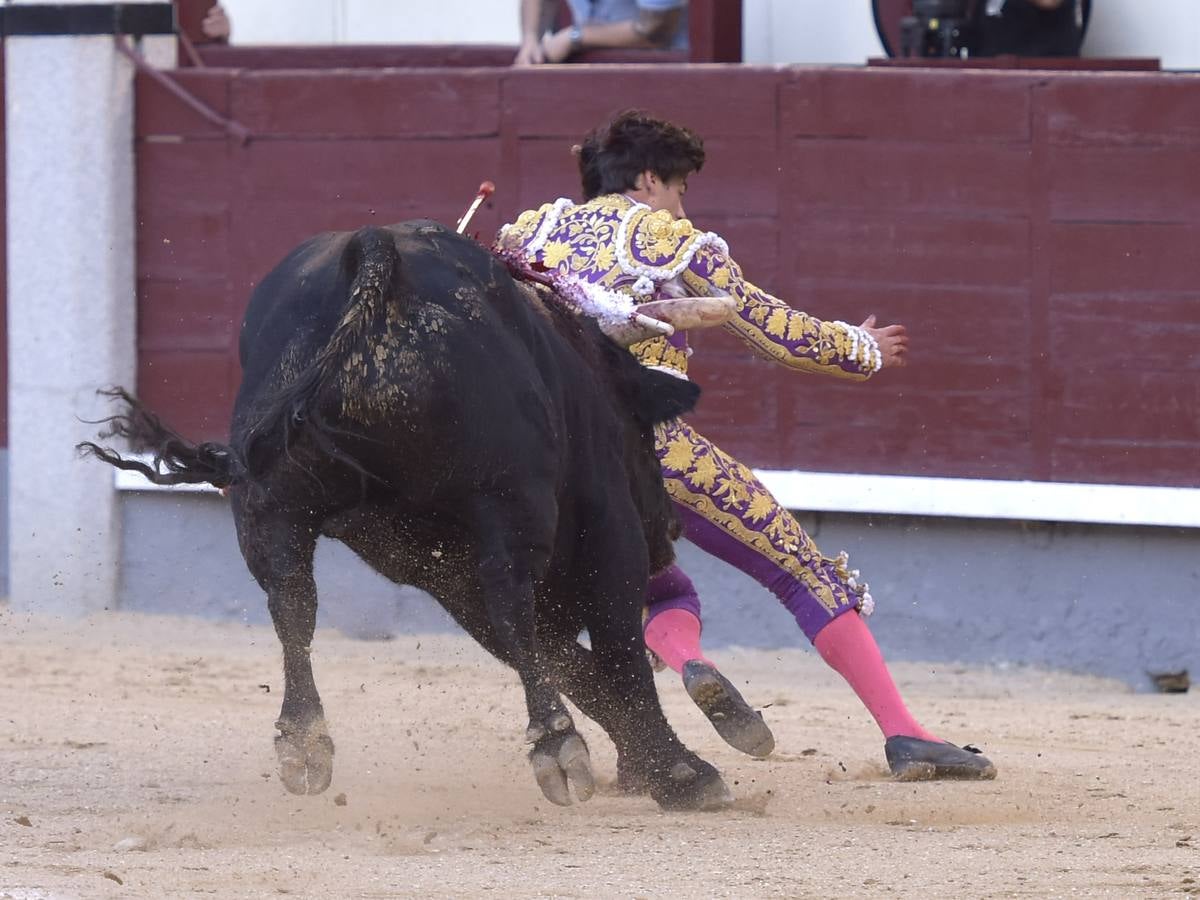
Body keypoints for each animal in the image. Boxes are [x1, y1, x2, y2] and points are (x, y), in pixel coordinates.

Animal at [84, 222, 729, 816]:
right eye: (645, 433)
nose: (669, 533)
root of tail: (373, 250)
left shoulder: (439, 568)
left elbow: (572, 662)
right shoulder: (606, 527)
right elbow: (614, 653)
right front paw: (681, 774)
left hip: (274, 507)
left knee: (292, 599)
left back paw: (303, 744)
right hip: (507, 496)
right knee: (513, 600)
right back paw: (558, 745)